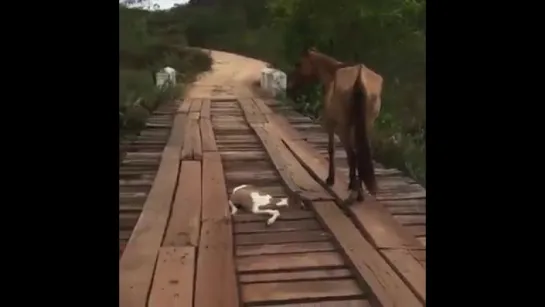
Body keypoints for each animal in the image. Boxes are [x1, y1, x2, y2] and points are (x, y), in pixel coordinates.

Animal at [284, 48, 382, 203]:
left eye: (298, 64)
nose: (289, 86)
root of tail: (360, 77)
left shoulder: (330, 123)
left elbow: (332, 149)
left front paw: (331, 179)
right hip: (366, 126)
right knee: (359, 154)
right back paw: (358, 192)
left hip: (343, 128)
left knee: (352, 155)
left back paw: (355, 192)